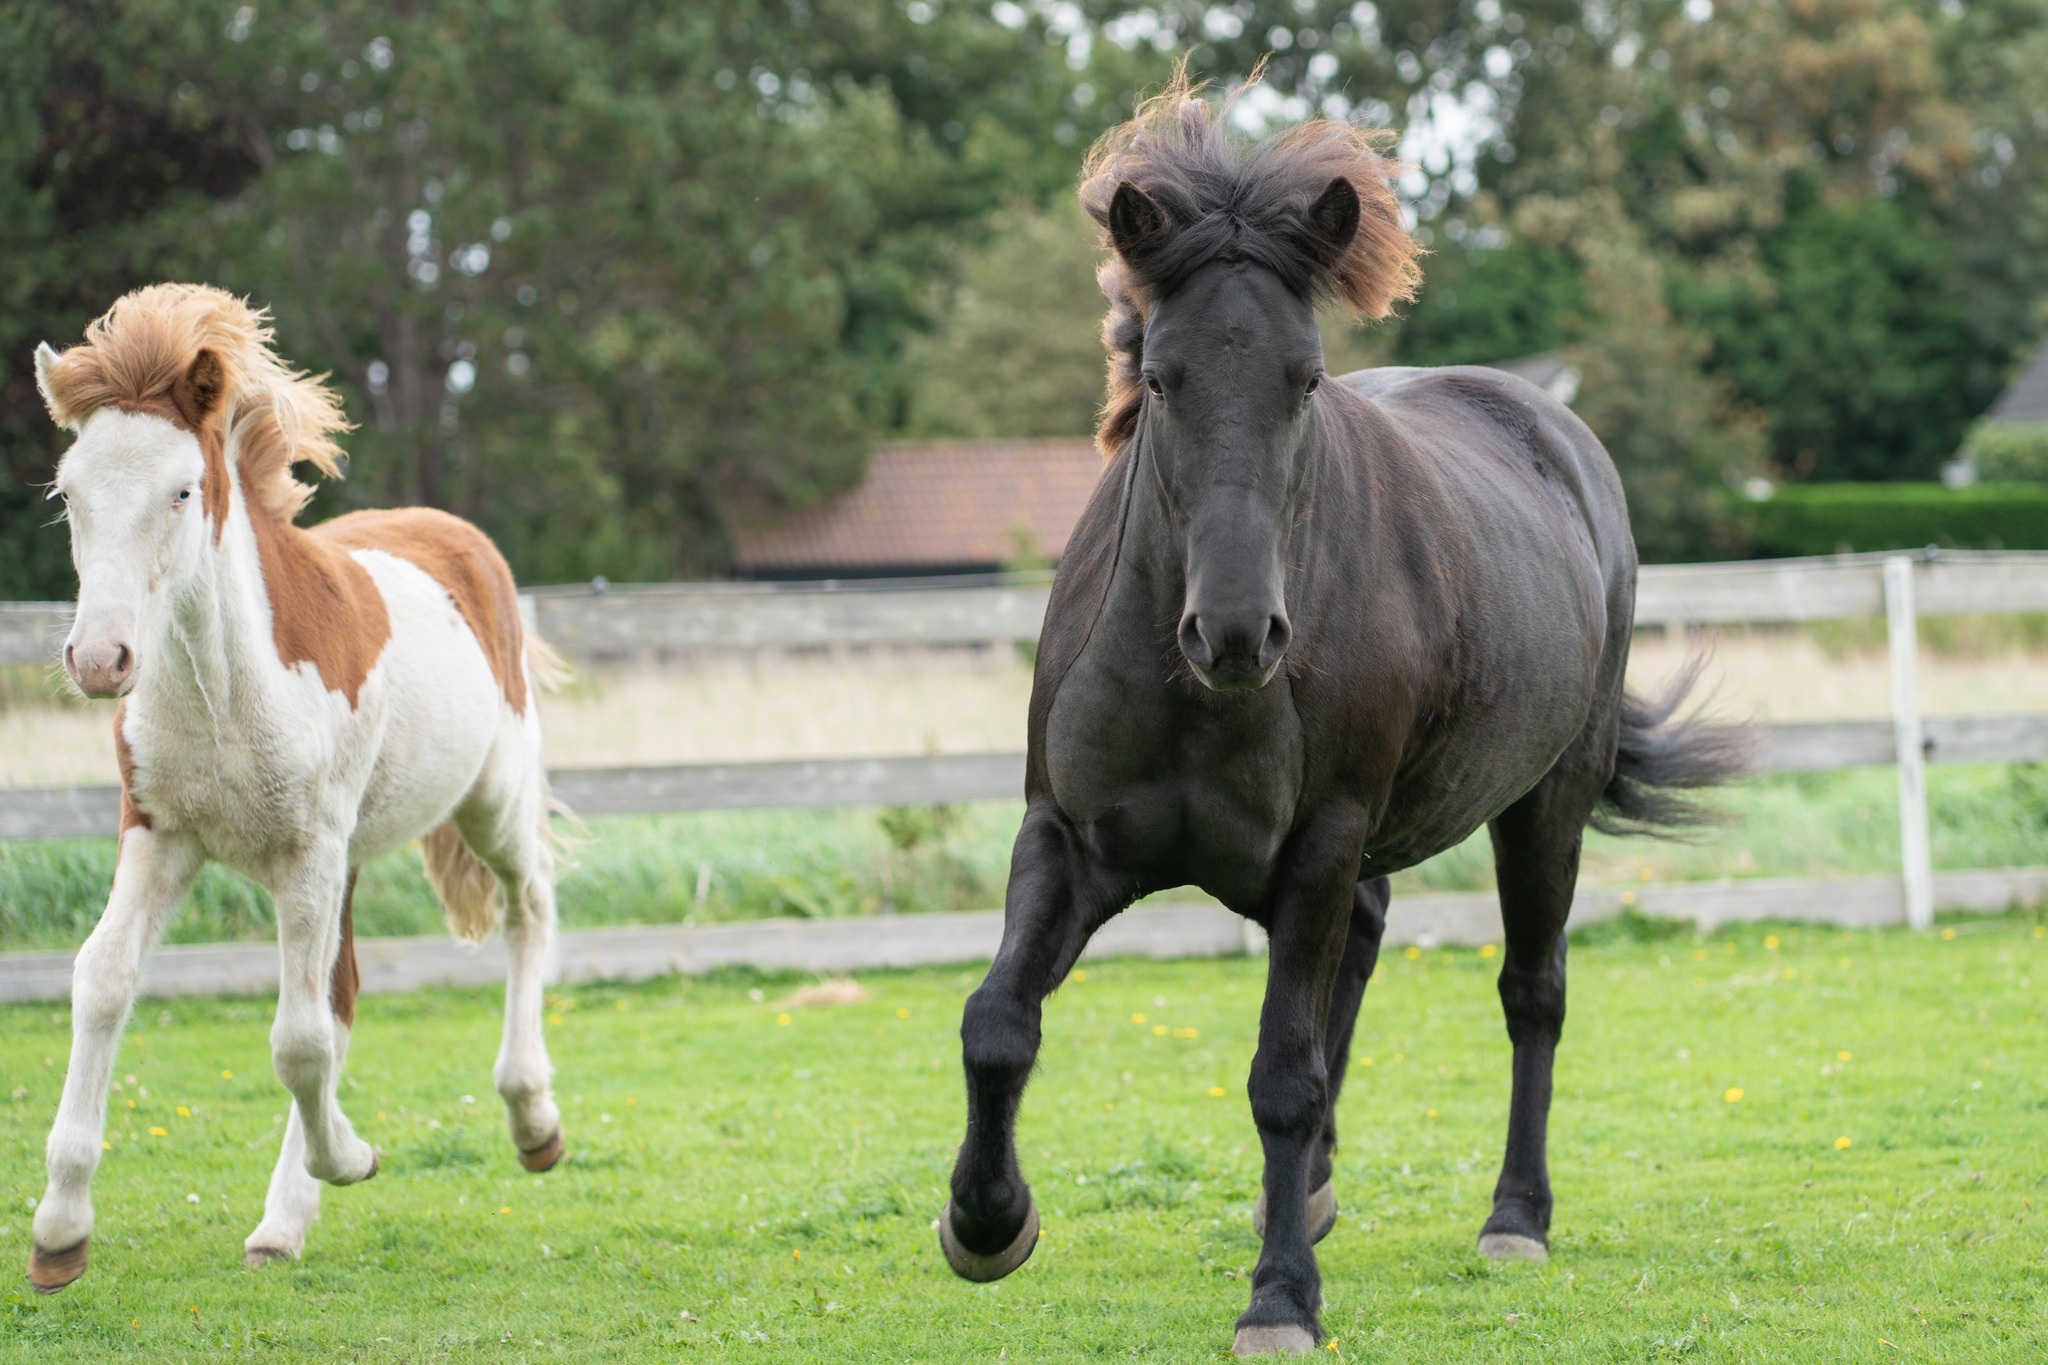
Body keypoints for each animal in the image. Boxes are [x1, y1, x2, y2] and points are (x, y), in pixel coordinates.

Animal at [26, 285, 570, 1292]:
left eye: (182, 489)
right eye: (68, 493)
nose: (99, 658)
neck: (224, 691)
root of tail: (458, 535)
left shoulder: (307, 852)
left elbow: (298, 1039)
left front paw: (352, 1157)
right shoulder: (158, 834)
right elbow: (103, 980)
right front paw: (59, 1230)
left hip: (490, 799)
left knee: (528, 908)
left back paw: (531, 1120)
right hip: (351, 858)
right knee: (344, 991)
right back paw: (282, 1223)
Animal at [936, 79, 1747, 1356]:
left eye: (1304, 379)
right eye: (1158, 377)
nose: (1233, 634)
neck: (1186, 696)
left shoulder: (1317, 845)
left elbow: (1282, 1073)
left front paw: (1278, 1299)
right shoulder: (1065, 838)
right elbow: (996, 1021)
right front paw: (985, 1222)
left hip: (1541, 808)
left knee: (1530, 994)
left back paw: (1512, 1218)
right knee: (1357, 961)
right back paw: (1312, 1193)